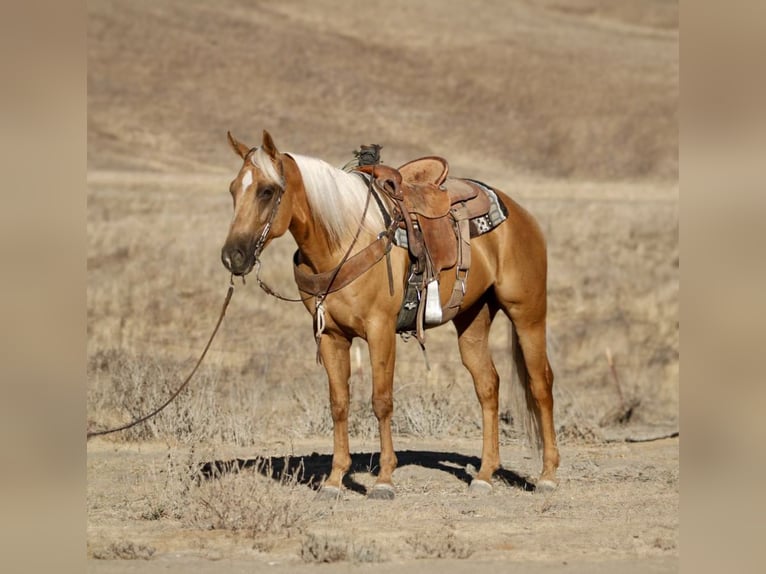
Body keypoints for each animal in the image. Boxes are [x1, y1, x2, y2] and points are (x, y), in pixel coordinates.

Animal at [221, 130, 559, 498]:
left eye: (267, 191)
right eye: (233, 189)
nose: (232, 256)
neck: (342, 241)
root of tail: (520, 213)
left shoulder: (380, 330)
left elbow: (381, 400)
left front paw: (384, 480)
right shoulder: (331, 336)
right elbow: (339, 403)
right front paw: (335, 480)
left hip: (527, 313)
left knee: (540, 382)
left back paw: (548, 475)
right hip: (473, 319)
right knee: (487, 385)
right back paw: (484, 474)